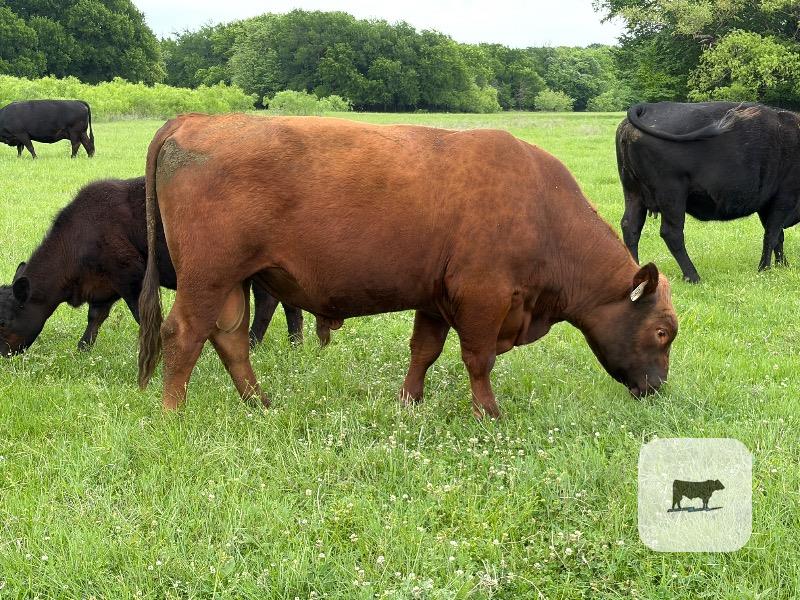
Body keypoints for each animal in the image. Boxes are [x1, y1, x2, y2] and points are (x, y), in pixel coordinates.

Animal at [0, 177, 324, 357]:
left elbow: (139, 315)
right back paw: (293, 345)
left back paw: (258, 343)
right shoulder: (104, 286)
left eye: (3, 322)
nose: (3, 357)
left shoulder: (130, 275)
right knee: (282, 303)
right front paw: (83, 349)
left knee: (269, 303)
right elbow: (95, 318)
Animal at [136, 115, 678, 419]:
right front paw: (489, 413)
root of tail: (195, 120)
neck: (543, 207)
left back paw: (259, 405)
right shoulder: (484, 298)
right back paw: (172, 412)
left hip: (232, 283)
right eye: (662, 332)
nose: (657, 389)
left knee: (229, 339)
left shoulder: (437, 298)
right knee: (183, 334)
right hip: (208, 277)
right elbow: (478, 360)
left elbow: (424, 351)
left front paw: (409, 401)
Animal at [617, 101, 800, 283]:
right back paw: (693, 276)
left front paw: (783, 265)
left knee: (630, 226)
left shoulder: (766, 202)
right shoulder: (785, 196)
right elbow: (772, 234)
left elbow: (778, 236)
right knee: (671, 233)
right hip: (671, 193)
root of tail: (647, 107)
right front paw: (765, 269)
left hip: (633, 191)